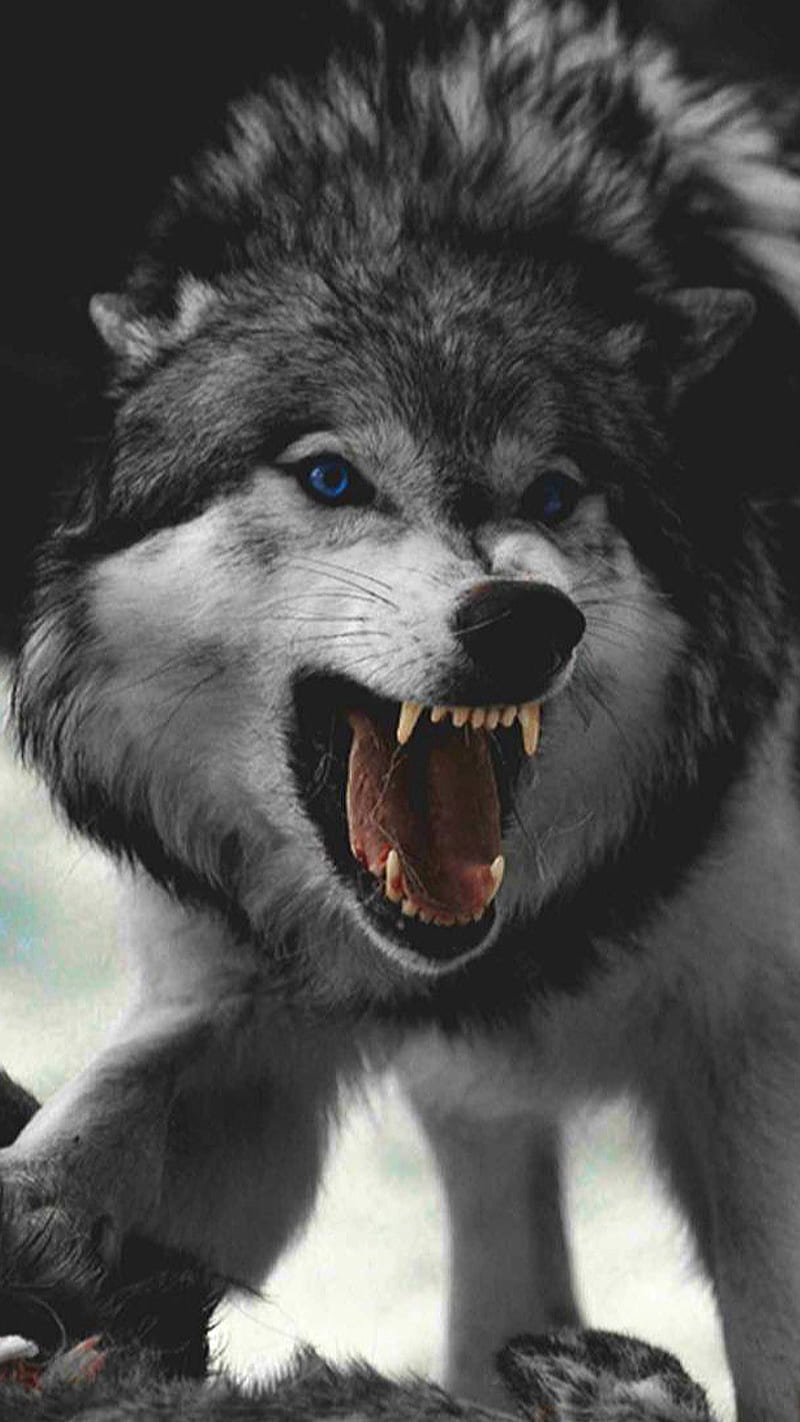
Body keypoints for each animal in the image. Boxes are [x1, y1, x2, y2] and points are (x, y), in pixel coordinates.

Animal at [3, 2, 800, 1418]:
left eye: (553, 495)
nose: (524, 618)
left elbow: (774, 1323)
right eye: (330, 477)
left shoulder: (755, 1046)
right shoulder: (235, 1020)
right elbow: (80, 1145)